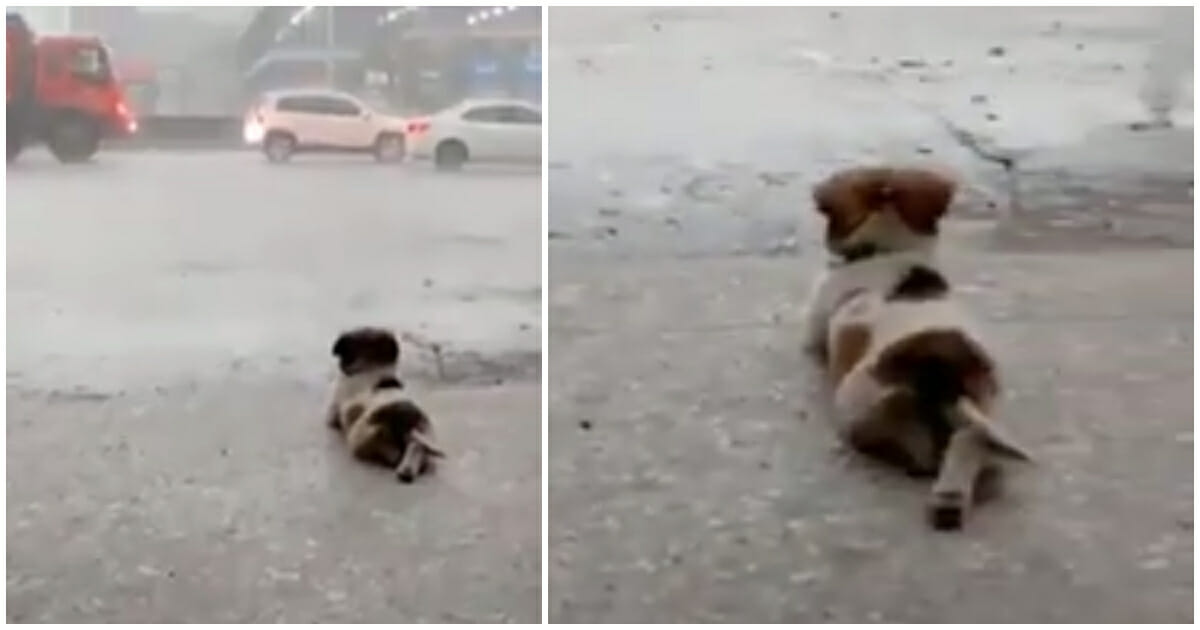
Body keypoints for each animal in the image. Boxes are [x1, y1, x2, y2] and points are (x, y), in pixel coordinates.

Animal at [326, 324, 444, 482]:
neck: (373, 365)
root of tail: (408, 425)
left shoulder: (332, 411)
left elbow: (332, 417)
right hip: (424, 433)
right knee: (416, 447)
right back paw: (406, 468)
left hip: (372, 428)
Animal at [796, 164, 1032, 528]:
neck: (890, 250)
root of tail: (942, 365)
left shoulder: (813, 328)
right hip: (985, 405)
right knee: (971, 441)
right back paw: (950, 496)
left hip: (856, 401)